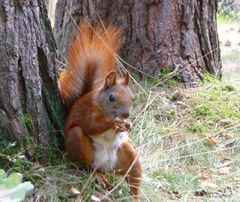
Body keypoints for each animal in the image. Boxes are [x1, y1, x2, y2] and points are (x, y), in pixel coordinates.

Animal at [59, 22, 142, 200]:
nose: (126, 115)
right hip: (79, 144)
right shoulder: (87, 111)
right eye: (112, 97)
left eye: (132, 98)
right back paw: (96, 175)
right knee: (87, 167)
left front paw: (128, 125)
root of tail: (106, 167)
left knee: (134, 176)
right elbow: (92, 125)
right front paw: (114, 124)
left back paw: (135, 197)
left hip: (129, 155)